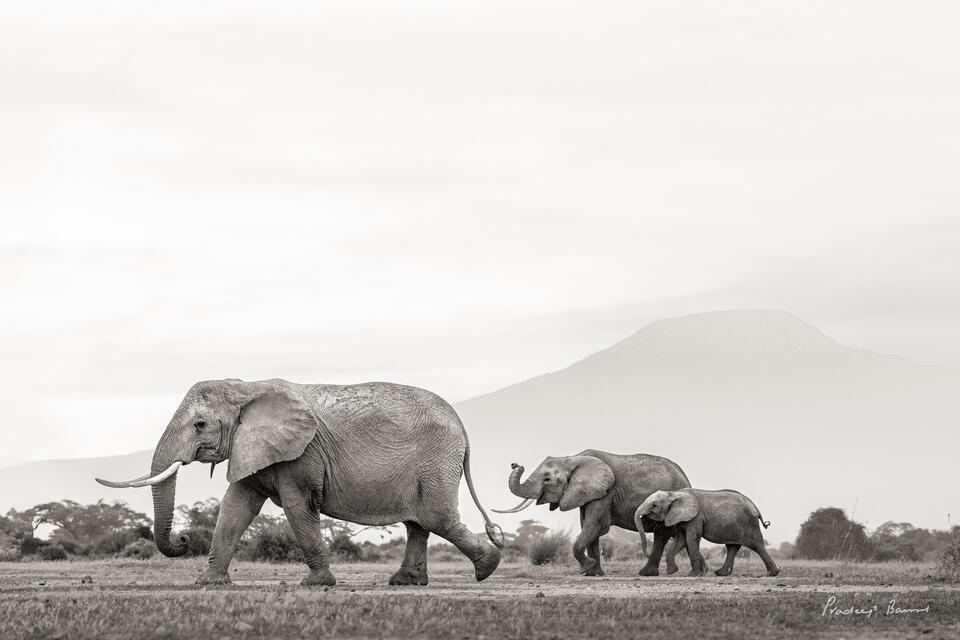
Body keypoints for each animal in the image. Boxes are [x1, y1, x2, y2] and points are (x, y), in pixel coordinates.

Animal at [96, 378, 504, 586]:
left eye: (200, 425)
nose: (182, 540)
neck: (247, 388)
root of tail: (462, 424)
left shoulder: (302, 455)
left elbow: (297, 507)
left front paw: (317, 585)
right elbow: (234, 508)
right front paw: (209, 584)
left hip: (436, 460)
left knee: (436, 518)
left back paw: (487, 568)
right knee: (417, 522)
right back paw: (405, 582)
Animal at [495, 450, 691, 576]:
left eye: (547, 479)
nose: (514, 464)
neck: (572, 458)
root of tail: (685, 477)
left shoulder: (605, 492)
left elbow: (596, 525)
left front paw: (587, 567)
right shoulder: (586, 493)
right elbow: (588, 527)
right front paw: (593, 573)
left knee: (661, 535)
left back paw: (646, 574)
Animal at [634, 489, 780, 577]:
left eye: (654, 505)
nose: (647, 554)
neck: (675, 494)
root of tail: (754, 506)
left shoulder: (696, 517)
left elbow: (691, 538)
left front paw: (692, 575)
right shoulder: (680, 518)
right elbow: (681, 540)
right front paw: (671, 572)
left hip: (749, 523)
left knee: (757, 546)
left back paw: (771, 574)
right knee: (732, 547)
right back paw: (721, 573)